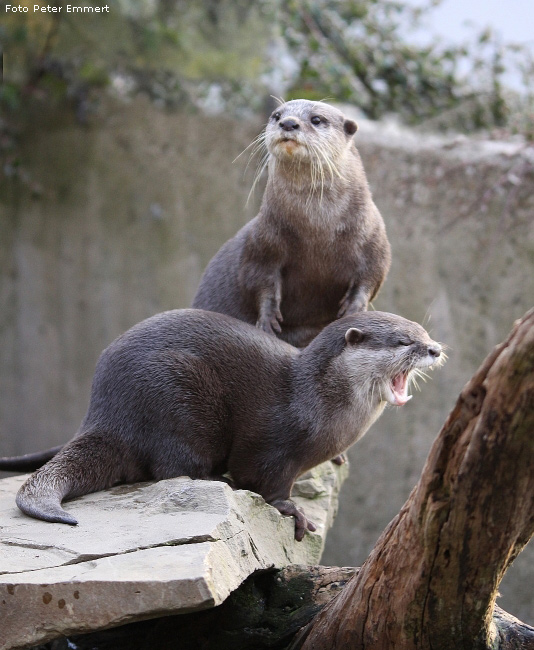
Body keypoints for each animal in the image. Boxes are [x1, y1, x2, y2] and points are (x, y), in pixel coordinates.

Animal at [194, 97, 394, 346]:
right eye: (277, 115)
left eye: (316, 119)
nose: (288, 123)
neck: (318, 229)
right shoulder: (264, 242)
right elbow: (258, 278)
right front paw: (267, 321)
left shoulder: (374, 240)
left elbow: (372, 277)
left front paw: (352, 310)